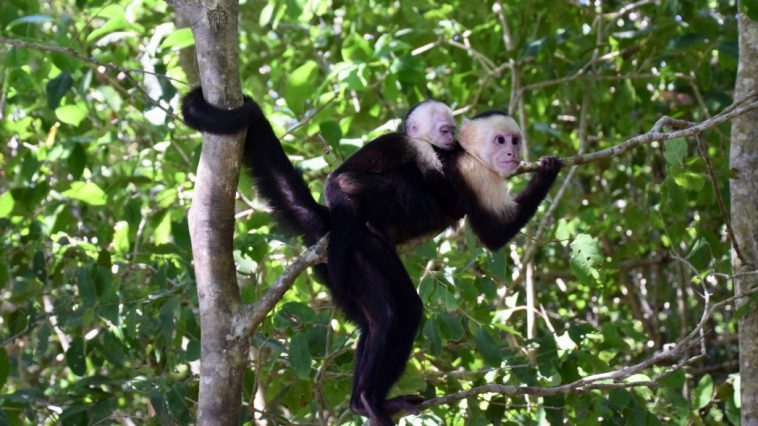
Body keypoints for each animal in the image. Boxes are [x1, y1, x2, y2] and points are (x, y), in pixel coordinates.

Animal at [181, 88, 562, 425]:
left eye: (514, 140)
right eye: (500, 140)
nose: (513, 154)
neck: (465, 153)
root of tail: (329, 226)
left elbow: (493, 233)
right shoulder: (474, 172)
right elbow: (494, 235)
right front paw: (548, 171)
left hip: (337, 273)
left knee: (377, 320)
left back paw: (362, 402)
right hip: (362, 249)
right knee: (400, 310)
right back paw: (371, 400)